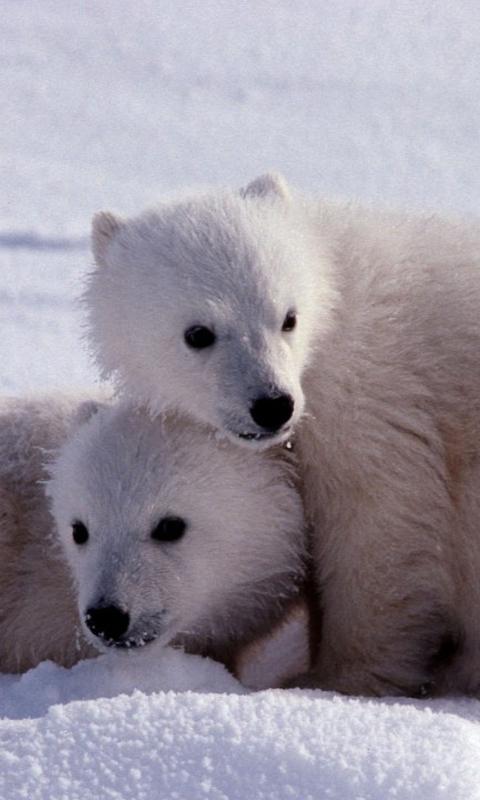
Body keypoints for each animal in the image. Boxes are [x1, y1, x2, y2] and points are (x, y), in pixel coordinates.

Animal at [84, 173, 480, 697]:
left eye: (287, 318)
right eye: (199, 333)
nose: (273, 405)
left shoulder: (375, 403)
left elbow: (381, 530)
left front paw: (335, 678)